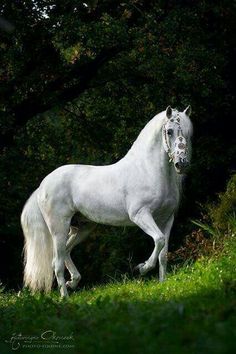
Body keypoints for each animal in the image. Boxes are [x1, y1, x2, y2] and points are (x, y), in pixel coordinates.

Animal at [21, 105, 193, 296]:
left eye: (189, 133)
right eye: (169, 131)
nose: (182, 164)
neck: (147, 170)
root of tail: (42, 186)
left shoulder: (167, 220)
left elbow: (163, 253)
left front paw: (163, 284)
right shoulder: (140, 215)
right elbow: (159, 239)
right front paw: (142, 268)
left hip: (82, 227)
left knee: (64, 252)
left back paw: (73, 282)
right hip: (59, 227)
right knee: (57, 263)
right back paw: (64, 297)